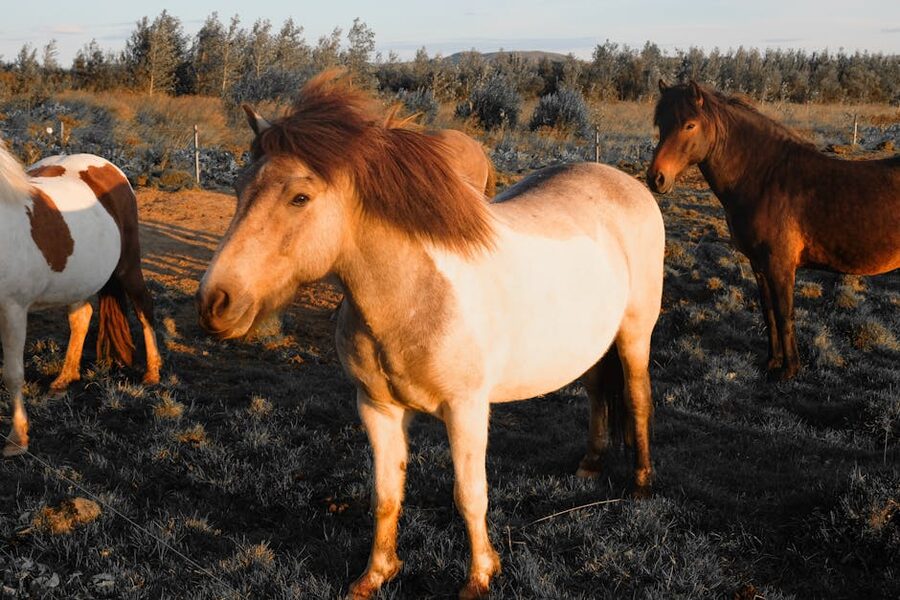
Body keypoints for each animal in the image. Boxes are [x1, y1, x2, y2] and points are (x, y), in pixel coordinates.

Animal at [0, 142, 161, 457]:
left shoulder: (12, 309)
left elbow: (12, 373)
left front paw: (17, 438)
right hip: (77, 281)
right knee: (82, 316)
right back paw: (65, 377)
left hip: (128, 265)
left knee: (143, 307)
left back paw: (152, 372)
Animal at [198, 70, 664, 600]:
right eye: (238, 187)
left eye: (300, 197)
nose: (215, 302)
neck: (413, 296)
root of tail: (625, 182)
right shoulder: (377, 408)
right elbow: (385, 494)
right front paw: (376, 574)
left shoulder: (466, 409)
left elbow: (469, 495)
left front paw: (480, 577)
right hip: (592, 345)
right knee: (596, 393)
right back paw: (589, 464)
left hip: (634, 335)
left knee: (638, 398)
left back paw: (641, 485)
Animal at [648, 80, 900, 379]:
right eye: (661, 124)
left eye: (690, 125)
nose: (656, 178)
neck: (765, 179)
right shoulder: (759, 264)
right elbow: (768, 312)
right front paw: (772, 361)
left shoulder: (780, 264)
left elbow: (784, 314)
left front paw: (789, 370)